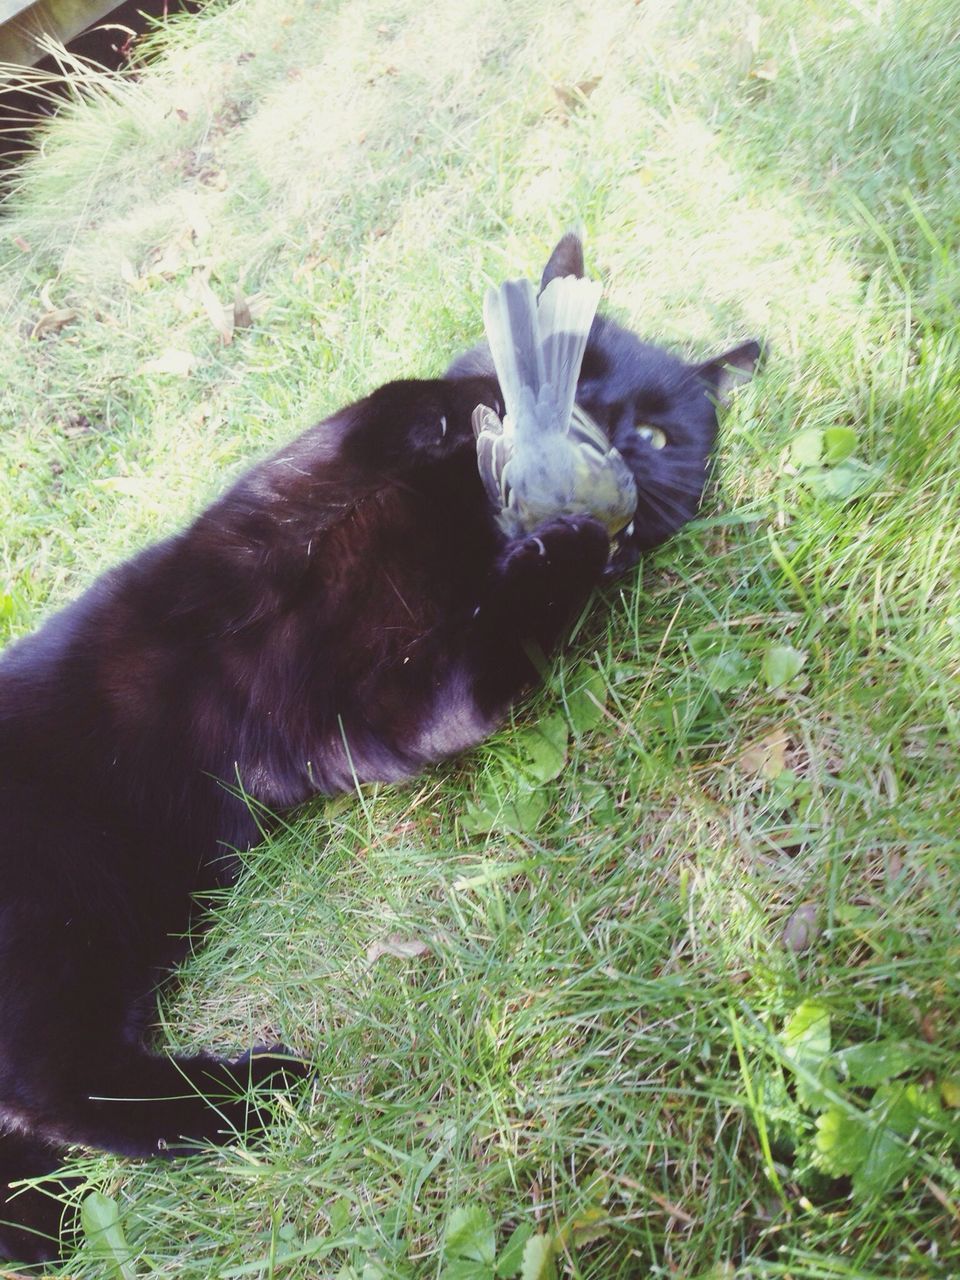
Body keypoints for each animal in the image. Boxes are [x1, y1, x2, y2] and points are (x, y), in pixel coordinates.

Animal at [0, 235, 762, 1264]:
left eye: (653, 433)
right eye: (588, 366)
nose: (584, 415)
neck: (454, 524)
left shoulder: (382, 706)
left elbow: (490, 653)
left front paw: (568, 552)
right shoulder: (265, 522)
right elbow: (368, 415)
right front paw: (454, 402)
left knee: (58, 1088)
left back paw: (212, 1122)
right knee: (50, 1084)